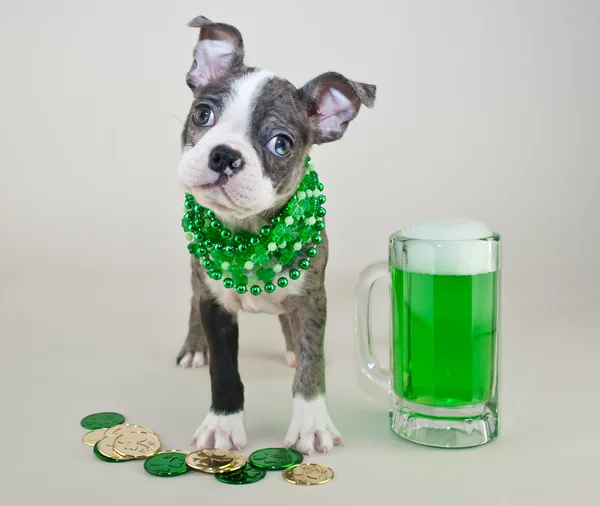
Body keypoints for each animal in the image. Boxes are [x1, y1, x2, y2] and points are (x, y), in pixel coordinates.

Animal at [173, 14, 376, 454]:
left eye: (281, 144)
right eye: (202, 115)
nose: (224, 155)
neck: (248, 234)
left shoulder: (313, 299)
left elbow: (313, 364)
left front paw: (311, 422)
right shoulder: (215, 306)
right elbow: (224, 371)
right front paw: (223, 423)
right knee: (192, 302)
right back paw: (194, 348)